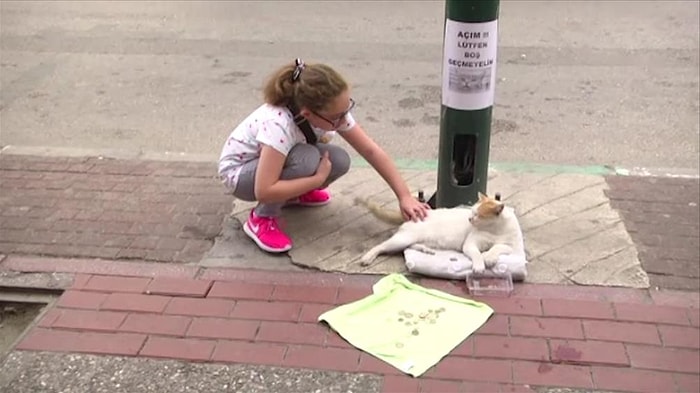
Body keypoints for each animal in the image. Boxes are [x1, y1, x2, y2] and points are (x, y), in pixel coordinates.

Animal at [356, 191, 524, 272]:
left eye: (477, 215)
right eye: (472, 212)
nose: (469, 219)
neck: (494, 230)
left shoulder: (513, 247)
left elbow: (498, 247)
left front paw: (489, 257)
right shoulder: (469, 244)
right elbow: (477, 254)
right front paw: (480, 265)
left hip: (411, 240)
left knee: (409, 247)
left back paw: (425, 249)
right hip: (402, 239)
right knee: (381, 246)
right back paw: (368, 257)